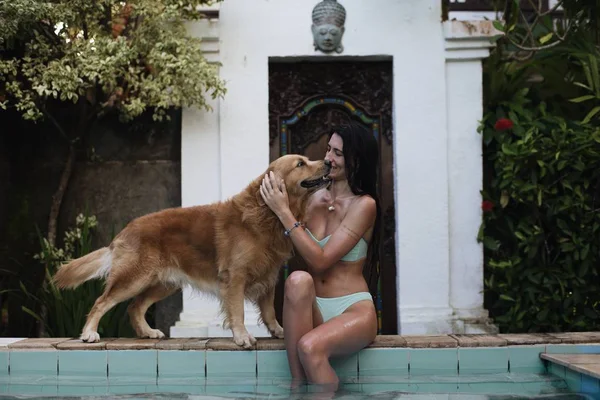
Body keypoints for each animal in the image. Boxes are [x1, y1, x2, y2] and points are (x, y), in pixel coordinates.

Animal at [51, 155, 330, 348]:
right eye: (301, 163)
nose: (327, 161)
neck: (267, 213)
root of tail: (125, 230)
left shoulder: (268, 275)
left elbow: (270, 311)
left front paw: (279, 331)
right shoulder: (235, 276)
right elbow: (238, 311)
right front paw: (242, 337)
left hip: (164, 283)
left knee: (135, 306)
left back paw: (148, 332)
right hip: (134, 277)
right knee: (102, 301)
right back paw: (89, 333)